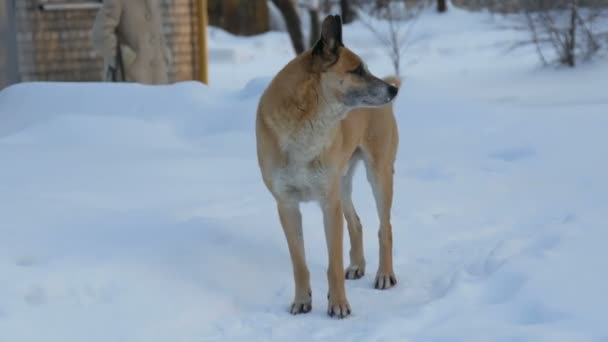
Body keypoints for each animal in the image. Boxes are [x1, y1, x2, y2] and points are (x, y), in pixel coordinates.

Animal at [255, 14, 402, 318]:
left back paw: (384, 274)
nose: (393, 90)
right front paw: (302, 301)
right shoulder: (287, 206)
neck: (305, 122)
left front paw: (339, 305)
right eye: (358, 70)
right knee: (356, 223)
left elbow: (332, 265)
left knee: (385, 227)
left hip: (378, 174)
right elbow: (299, 264)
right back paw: (357, 266)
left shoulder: (328, 204)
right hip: (342, 183)